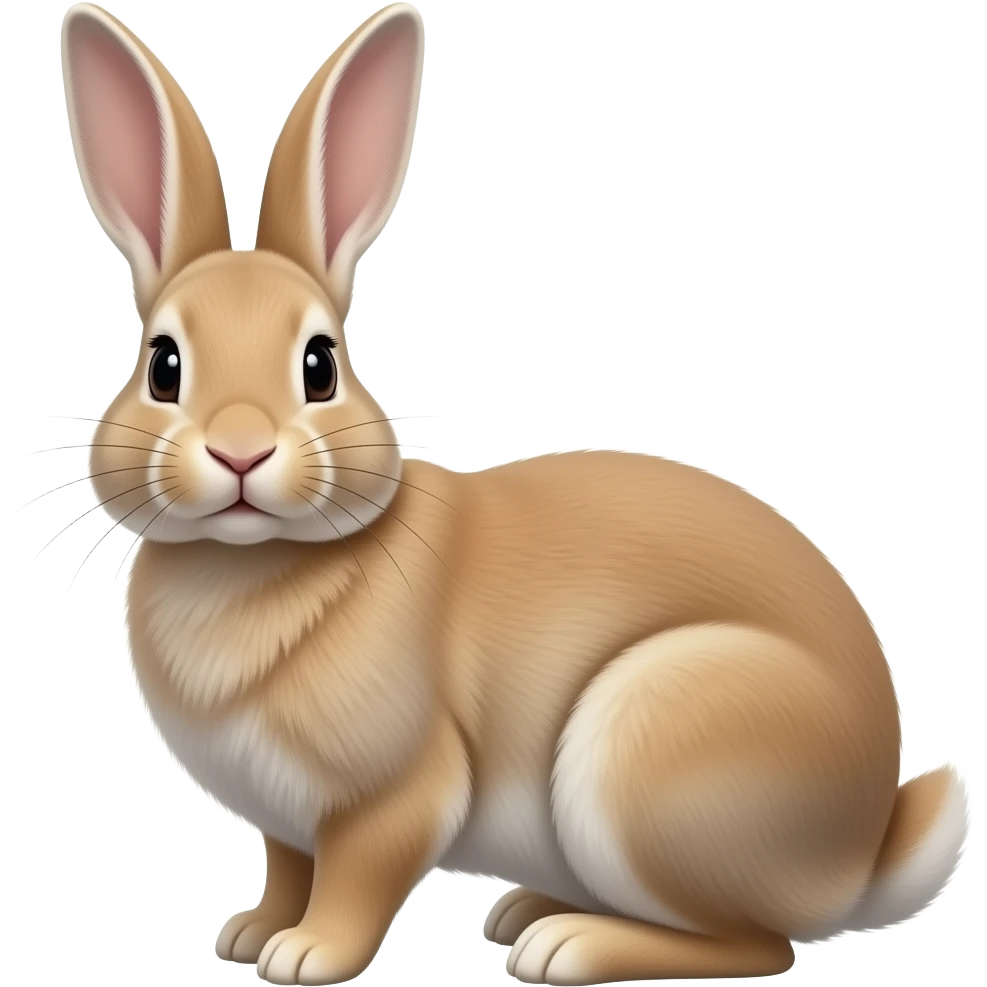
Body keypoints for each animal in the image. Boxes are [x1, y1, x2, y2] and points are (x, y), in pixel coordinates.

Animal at [57, 2, 972, 985]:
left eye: (319, 365)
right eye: (162, 364)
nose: (239, 450)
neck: (249, 564)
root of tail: (859, 850)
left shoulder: (395, 796)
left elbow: (356, 880)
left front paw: (305, 955)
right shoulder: (286, 822)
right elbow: (287, 867)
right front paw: (250, 932)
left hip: (646, 749)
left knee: (757, 943)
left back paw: (564, 943)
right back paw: (529, 910)